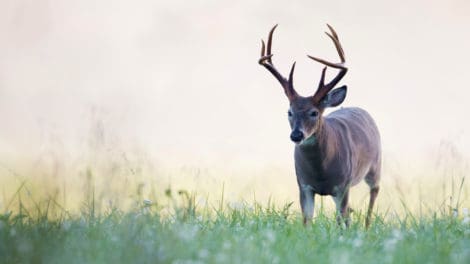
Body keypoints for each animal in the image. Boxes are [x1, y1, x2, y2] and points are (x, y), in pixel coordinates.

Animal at [258, 24, 380, 227]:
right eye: (289, 112)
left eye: (314, 113)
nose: (296, 135)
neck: (320, 172)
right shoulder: (303, 185)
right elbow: (307, 220)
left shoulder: (343, 185)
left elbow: (341, 219)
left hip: (375, 165)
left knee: (373, 195)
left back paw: (367, 226)